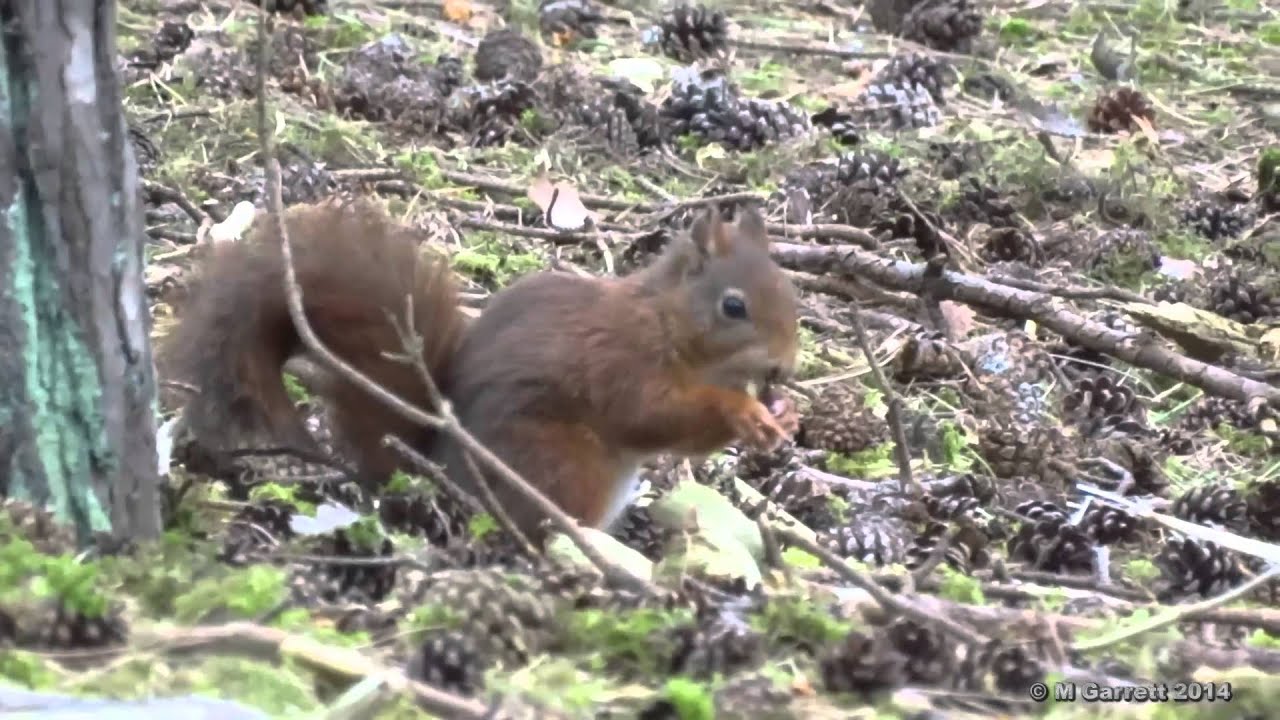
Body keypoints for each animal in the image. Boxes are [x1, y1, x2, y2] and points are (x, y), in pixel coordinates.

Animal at [161, 197, 800, 539]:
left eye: (790, 291)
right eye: (734, 306)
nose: (786, 366)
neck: (667, 323)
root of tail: (442, 472)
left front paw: (783, 416)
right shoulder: (625, 365)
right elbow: (656, 416)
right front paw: (743, 411)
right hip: (564, 468)